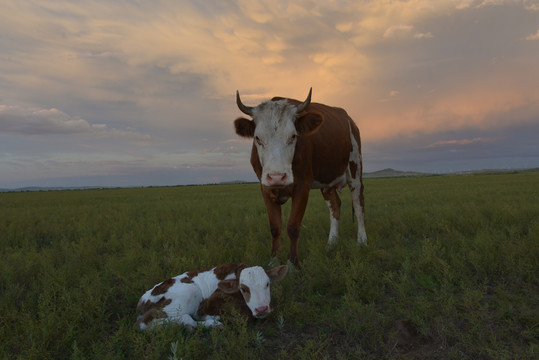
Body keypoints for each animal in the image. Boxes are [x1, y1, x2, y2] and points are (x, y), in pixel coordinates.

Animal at [134, 262, 288, 330]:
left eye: (267, 284)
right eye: (243, 288)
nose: (261, 309)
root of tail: (142, 301)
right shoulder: (208, 305)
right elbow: (243, 317)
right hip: (187, 294)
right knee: (144, 322)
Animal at [235, 88, 368, 268]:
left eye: (293, 136)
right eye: (257, 138)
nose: (277, 177)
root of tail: (349, 119)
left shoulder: (303, 186)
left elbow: (293, 226)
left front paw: (292, 264)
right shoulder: (265, 187)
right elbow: (275, 227)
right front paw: (274, 261)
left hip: (355, 167)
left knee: (358, 203)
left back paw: (362, 241)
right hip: (326, 180)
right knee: (335, 205)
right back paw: (331, 243)